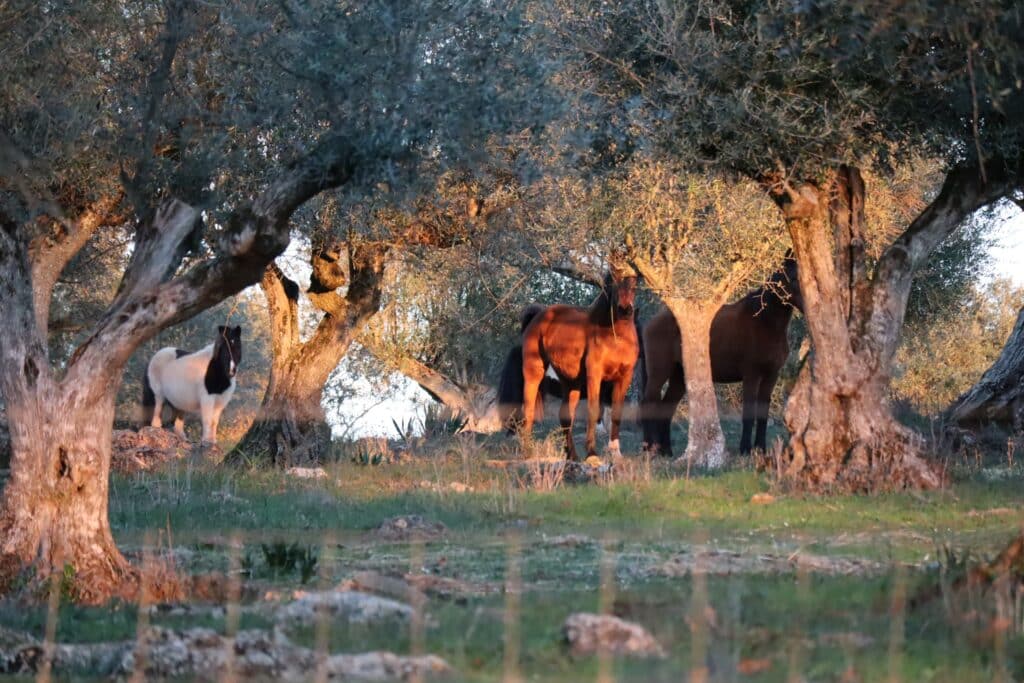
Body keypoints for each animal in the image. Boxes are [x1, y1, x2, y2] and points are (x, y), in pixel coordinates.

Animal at [520, 272, 639, 461]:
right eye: (614, 283)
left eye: (635, 285)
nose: (625, 310)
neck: (616, 337)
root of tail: (539, 314)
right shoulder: (594, 375)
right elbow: (593, 411)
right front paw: (592, 453)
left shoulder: (624, 377)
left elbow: (616, 414)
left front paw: (616, 453)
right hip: (534, 373)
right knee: (529, 410)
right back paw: (527, 452)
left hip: (570, 382)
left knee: (566, 417)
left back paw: (572, 456)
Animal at [640, 257, 802, 457]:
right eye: (792, 278)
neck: (765, 322)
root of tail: (651, 322)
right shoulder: (751, 375)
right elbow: (748, 413)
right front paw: (745, 449)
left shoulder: (771, 376)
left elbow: (763, 414)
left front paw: (760, 449)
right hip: (659, 372)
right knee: (647, 403)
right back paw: (648, 449)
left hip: (679, 376)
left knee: (666, 407)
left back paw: (666, 451)